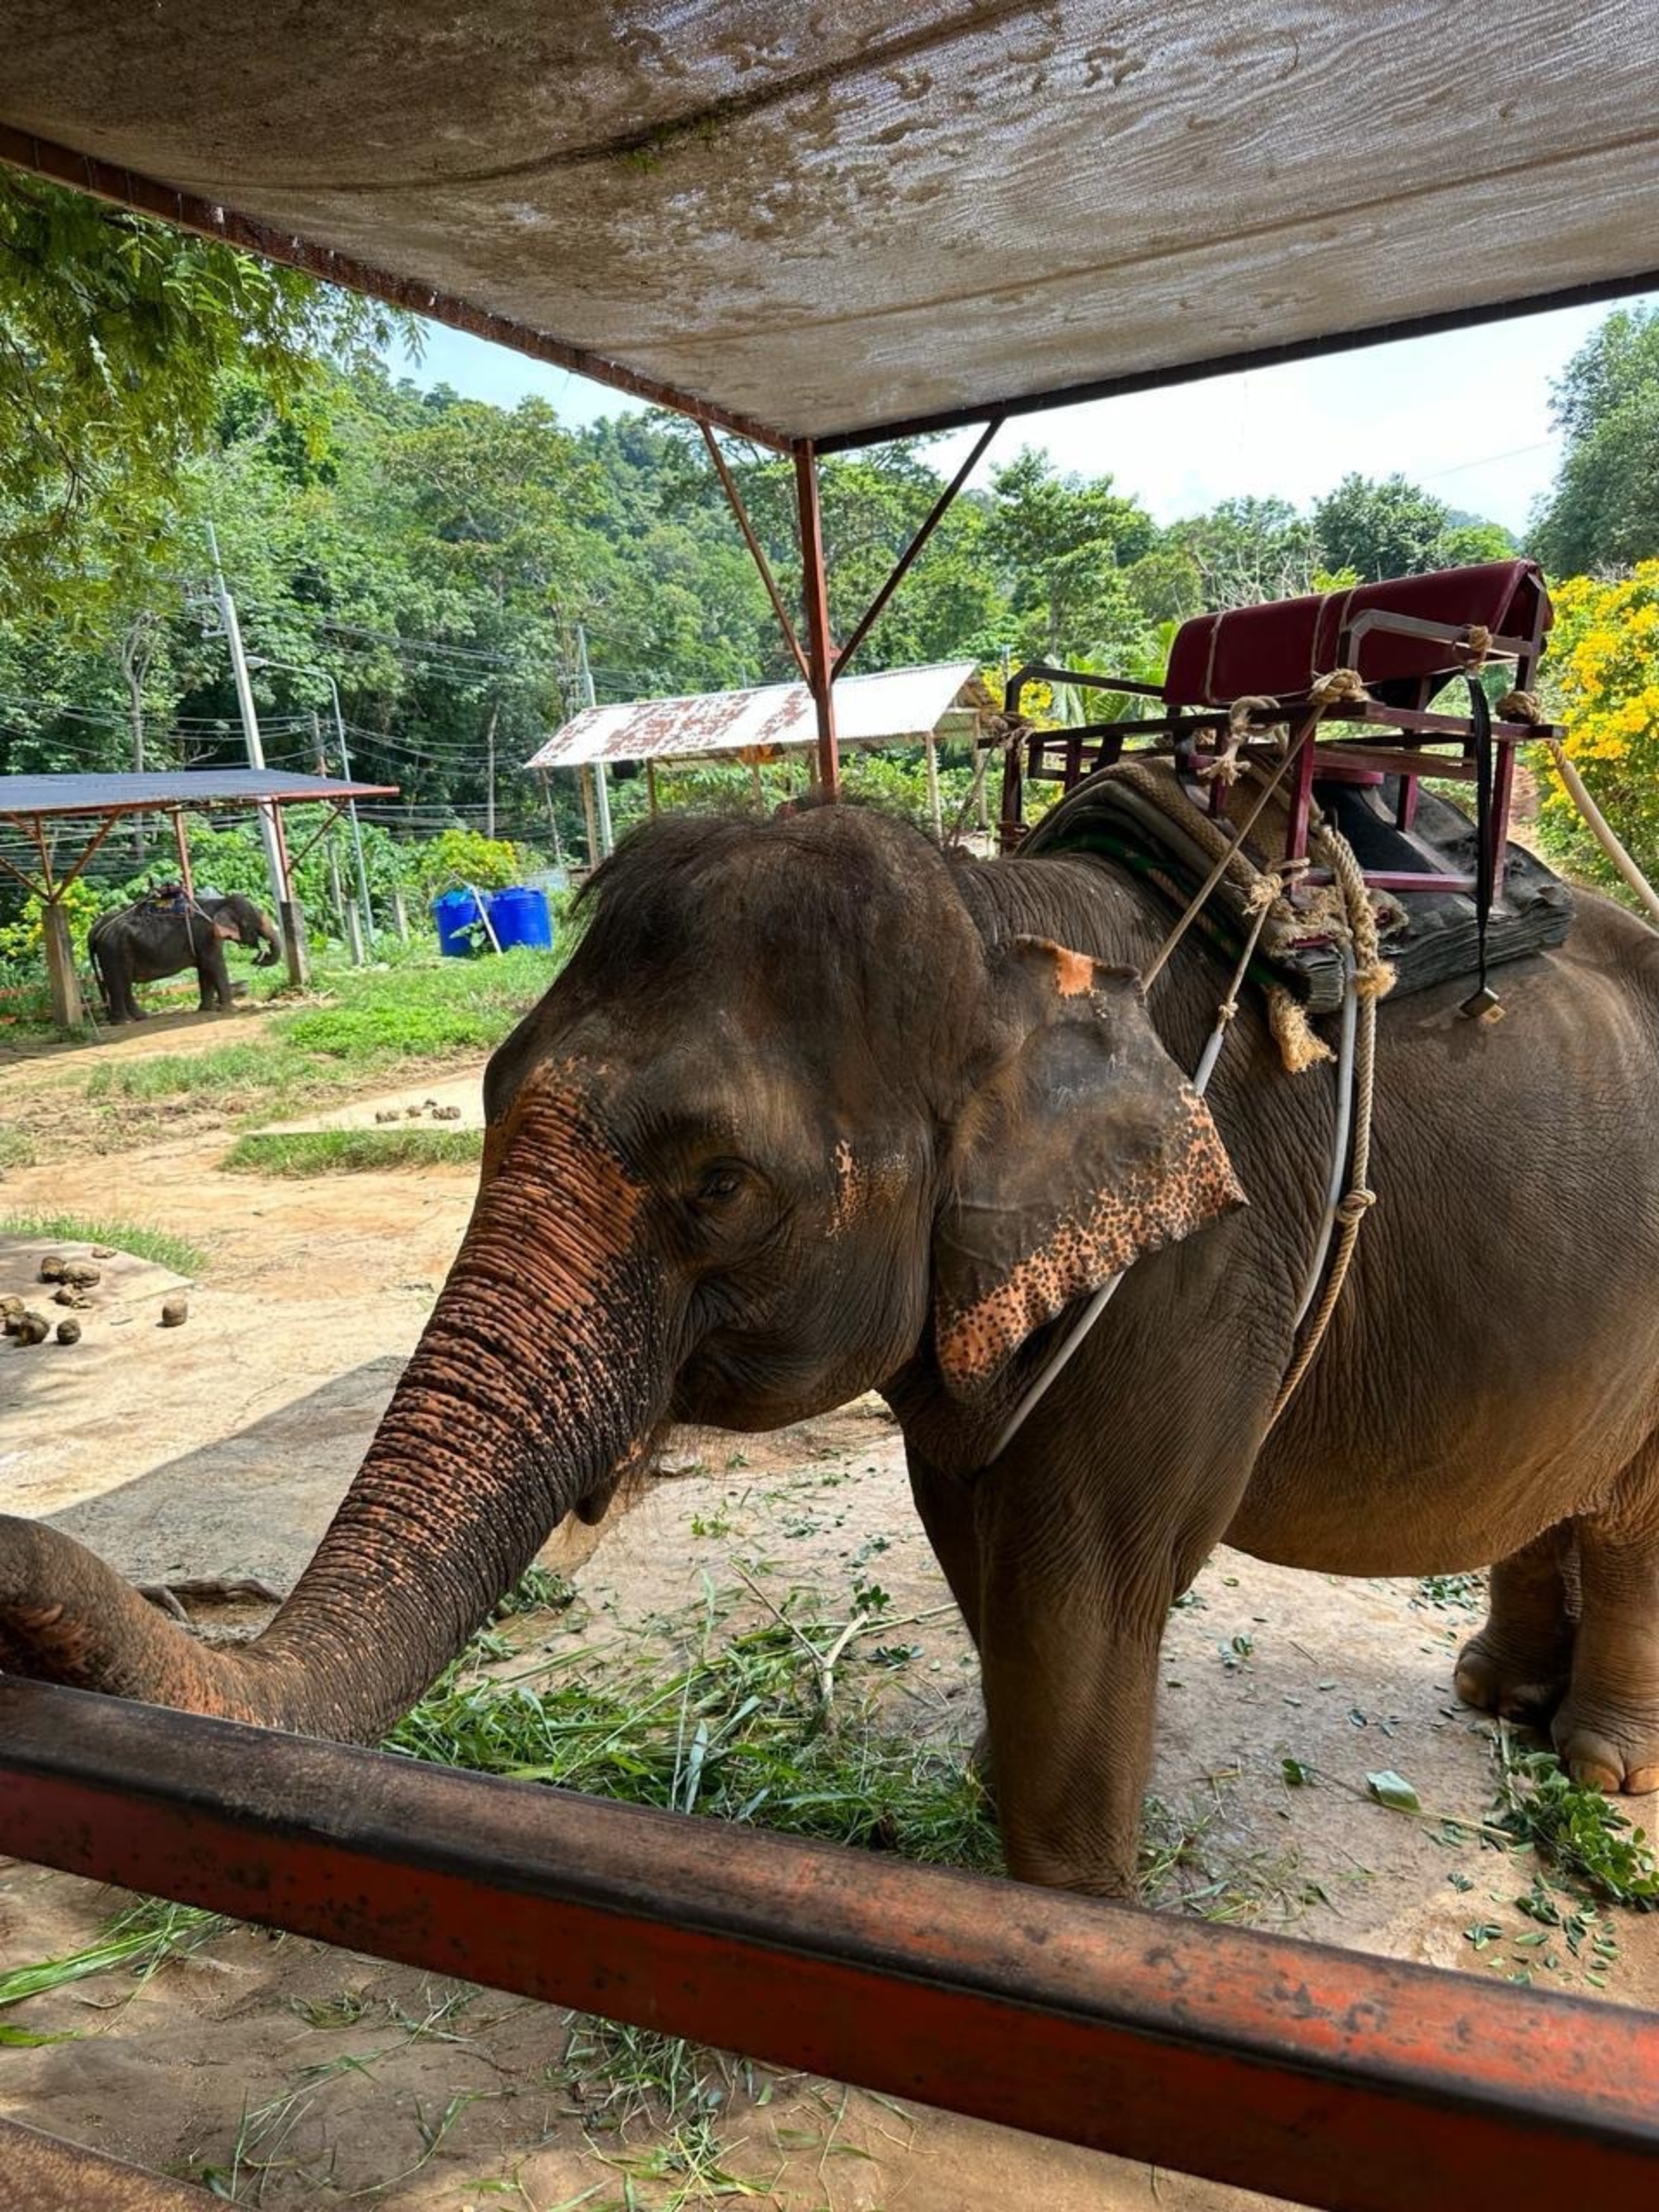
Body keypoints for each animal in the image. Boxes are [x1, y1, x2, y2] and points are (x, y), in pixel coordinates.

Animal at [87, 885, 283, 1021]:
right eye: (250, 922)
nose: (257, 958)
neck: (220, 901)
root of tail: (97, 927)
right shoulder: (207, 935)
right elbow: (215, 965)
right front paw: (230, 1009)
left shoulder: (204, 940)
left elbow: (204, 969)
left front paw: (205, 1009)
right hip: (114, 951)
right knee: (118, 983)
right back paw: (125, 1021)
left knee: (123, 983)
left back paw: (140, 1017)